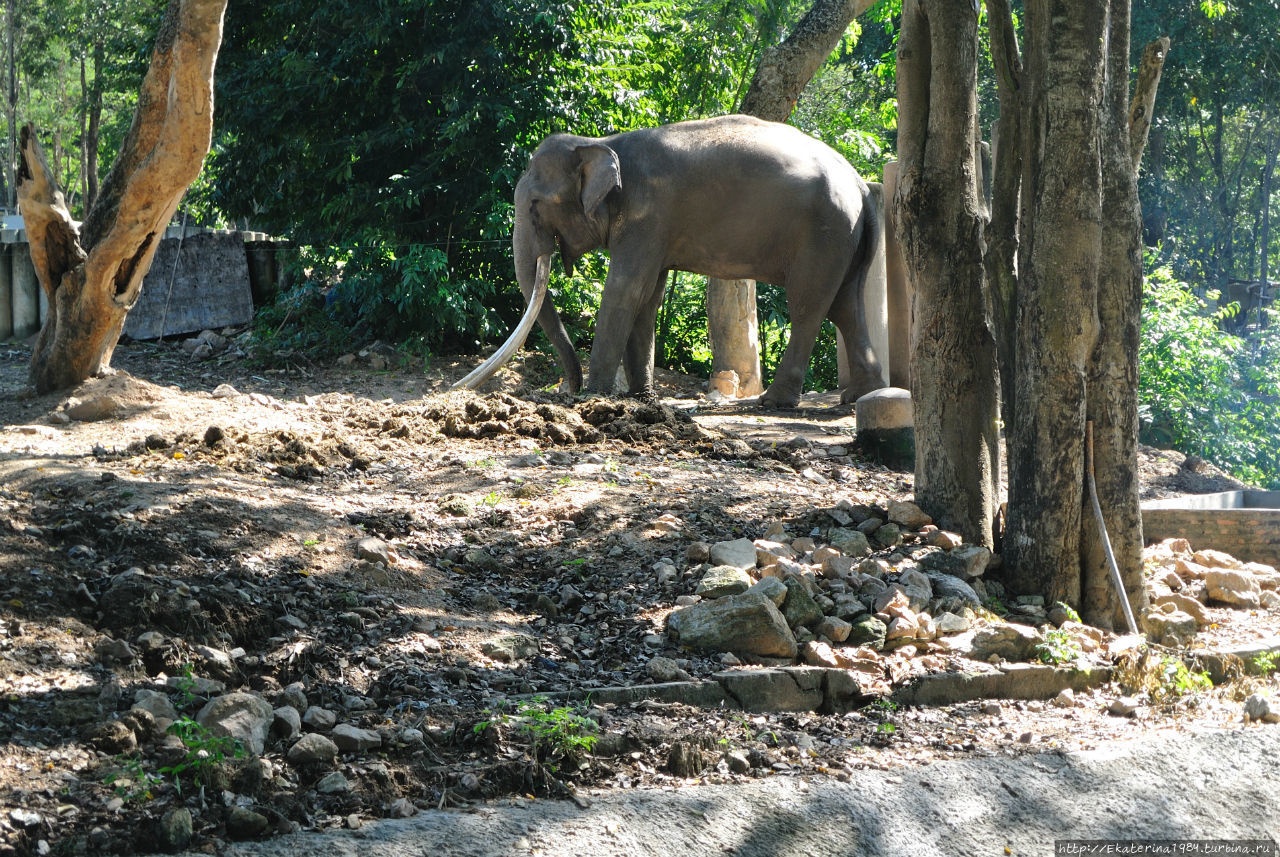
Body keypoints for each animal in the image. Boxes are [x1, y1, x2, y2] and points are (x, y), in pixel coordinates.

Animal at [455, 113, 885, 409]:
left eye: (534, 204)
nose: (566, 391)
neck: (602, 143)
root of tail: (861, 184)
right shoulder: (653, 230)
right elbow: (648, 297)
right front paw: (641, 398)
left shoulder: (648, 215)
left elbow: (624, 289)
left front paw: (595, 396)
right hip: (846, 238)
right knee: (848, 305)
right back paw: (859, 397)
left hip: (823, 235)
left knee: (809, 306)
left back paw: (775, 403)